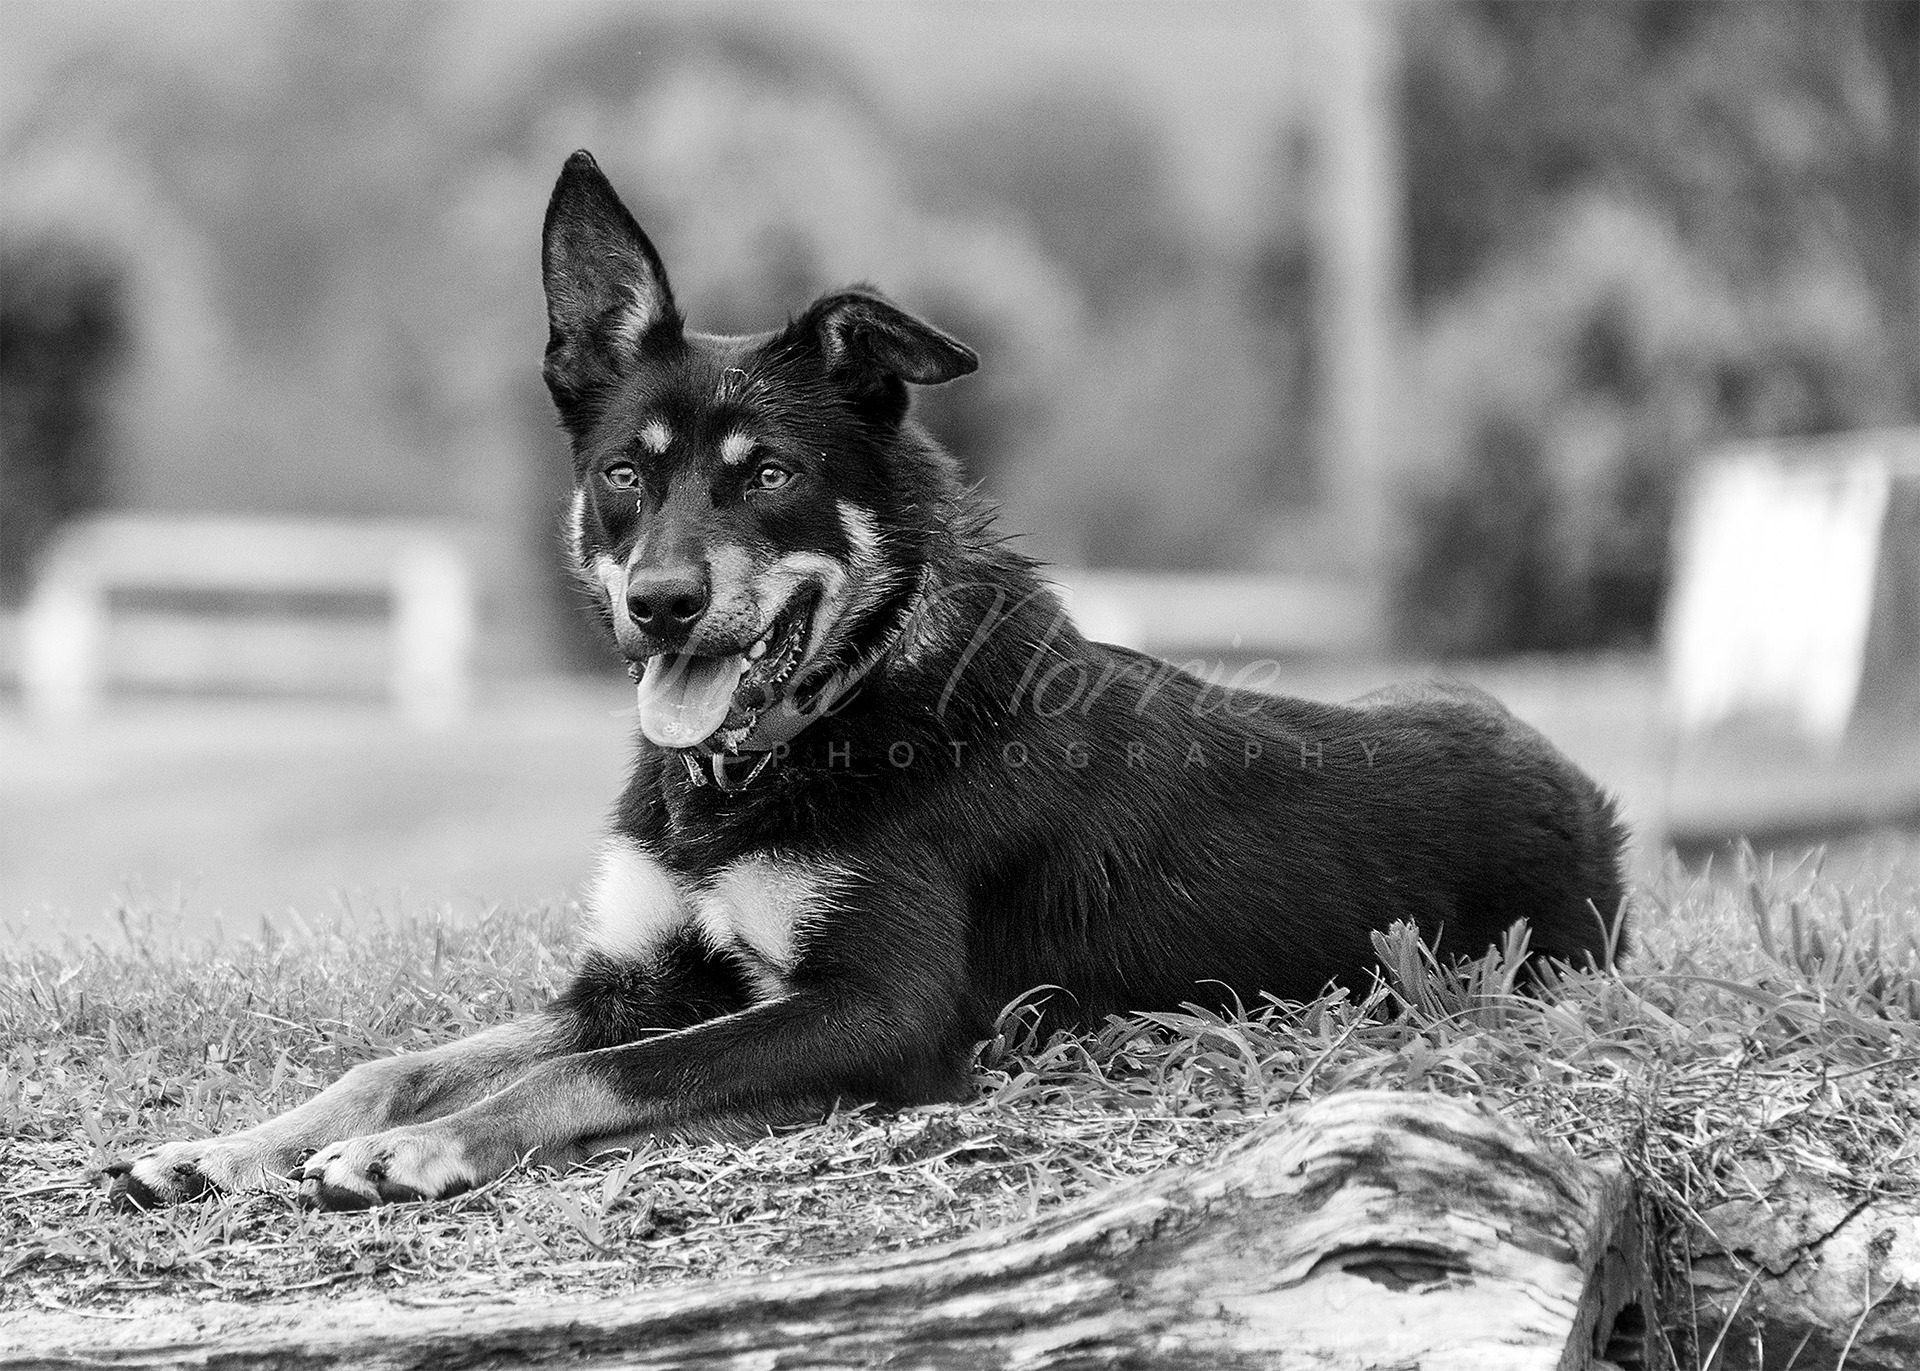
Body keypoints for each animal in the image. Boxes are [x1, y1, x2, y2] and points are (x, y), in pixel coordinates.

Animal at [108, 150, 1626, 1209]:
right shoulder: (631, 977)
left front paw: (419, 1151)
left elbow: (592, 1074)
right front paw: (235, 1146)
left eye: (770, 474)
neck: (808, 731)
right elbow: (410, 1056)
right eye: (625, 475)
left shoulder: (873, 1013)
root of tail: (1577, 785)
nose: (662, 603)